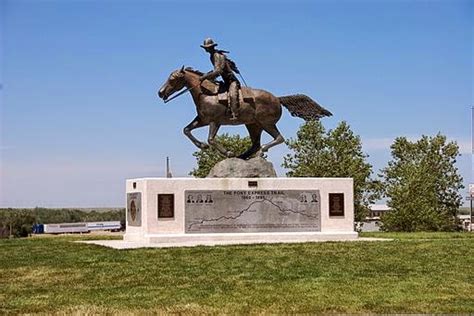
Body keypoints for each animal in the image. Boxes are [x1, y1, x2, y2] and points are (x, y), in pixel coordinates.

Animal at [157, 67, 332, 159]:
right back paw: (243, 156)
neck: (207, 93)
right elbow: (186, 130)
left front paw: (227, 152)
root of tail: (277, 98)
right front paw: (202, 146)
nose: (160, 93)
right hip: (253, 125)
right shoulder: (202, 120)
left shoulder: (215, 122)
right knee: (255, 144)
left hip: (266, 123)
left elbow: (211, 139)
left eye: (172, 79)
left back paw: (259, 152)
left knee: (278, 138)